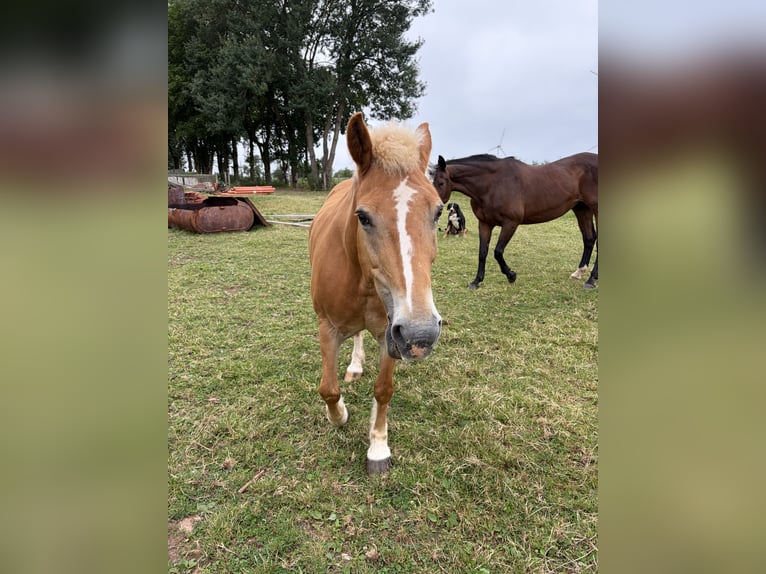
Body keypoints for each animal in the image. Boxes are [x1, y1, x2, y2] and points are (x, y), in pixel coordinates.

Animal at [309, 113, 443, 475]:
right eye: (363, 216)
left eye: (439, 212)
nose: (420, 334)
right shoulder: (327, 327)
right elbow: (328, 389)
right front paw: (339, 415)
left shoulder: (390, 334)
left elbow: (384, 391)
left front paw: (378, 447)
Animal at [430, 152, 599, 289]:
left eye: (441, 183)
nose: (434, 210)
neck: (492, 184)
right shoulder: (484, 223)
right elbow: (482, 252)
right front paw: (476, 281)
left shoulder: (510, 223)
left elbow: (498, 252)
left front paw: (511, 275)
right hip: (582, 209)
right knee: (589, 239)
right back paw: (579, 272)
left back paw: (591, 280)